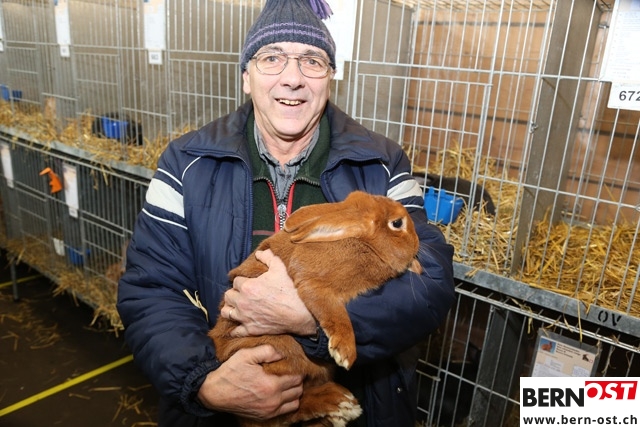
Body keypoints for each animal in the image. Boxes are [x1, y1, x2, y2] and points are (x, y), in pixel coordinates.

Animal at [209, 190, 422, 427]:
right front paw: (345, 352)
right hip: (284, 356)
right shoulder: (313, 283)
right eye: (397, 223)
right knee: (282, 412)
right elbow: (334, 313)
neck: (362, 243)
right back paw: (340, 404)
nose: (417, 242)